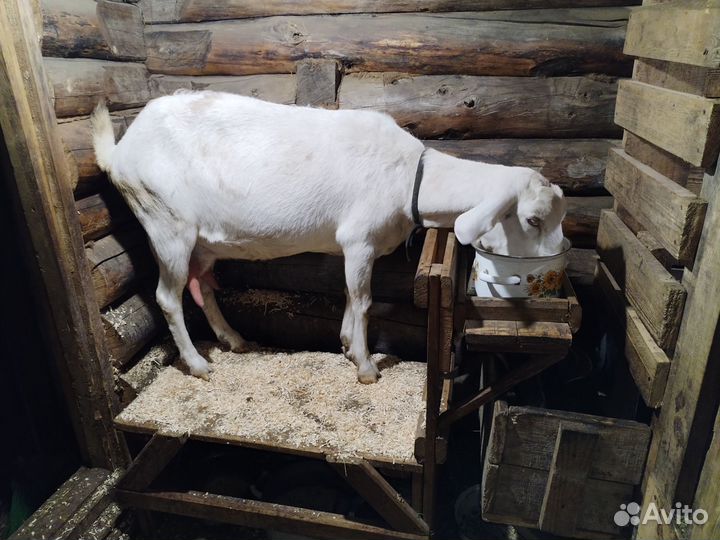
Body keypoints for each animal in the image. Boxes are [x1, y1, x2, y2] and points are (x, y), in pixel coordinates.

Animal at [91, 92, 566, 383]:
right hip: (165, 221)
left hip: (203, 242)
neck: (406, 175)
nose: (555, 259)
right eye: (533, 220)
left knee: (201, 286)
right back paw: (197, 364)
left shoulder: (354, 248)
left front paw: (346, 345)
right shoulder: (359, 239)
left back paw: (233, 340)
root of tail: (118, 151)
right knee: (167, 297)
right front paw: (366, 366)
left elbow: (349, 294)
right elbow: (364, 299)